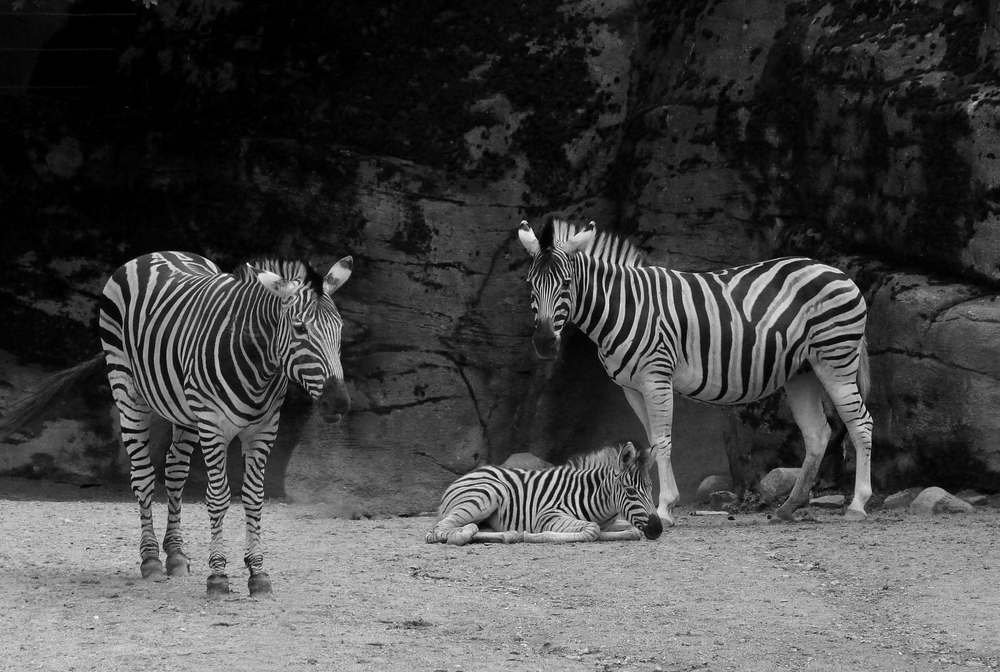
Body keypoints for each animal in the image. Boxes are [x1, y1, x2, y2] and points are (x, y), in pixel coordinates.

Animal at [0, 253, 354, 600]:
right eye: (299, 328)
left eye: (339, 328)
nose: (338, 403)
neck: (258, 366)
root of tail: (156, 254)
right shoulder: (213, 426)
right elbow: (219, 497)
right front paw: (218, 576)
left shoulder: (264, 430)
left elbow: (254, 498)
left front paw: (258, 573)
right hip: (127, 389)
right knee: (143, 476)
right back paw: (151, 560)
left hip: (183, 411)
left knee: (175, 471)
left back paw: (176, 555)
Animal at [520, 219, 872, 524]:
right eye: (530, 284)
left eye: (567, 284)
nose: (544, 343)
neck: (625, 307)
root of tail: (835, 271)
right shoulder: (631, 388)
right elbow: (650, 442)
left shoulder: (656, 377)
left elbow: (663, 441)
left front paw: (664, 509)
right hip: (803, 372)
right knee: (817, 433)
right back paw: (789, 507)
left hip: (835, 359)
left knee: (861, 423)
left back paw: (857, 505)